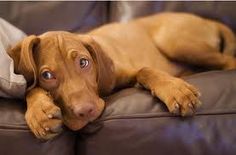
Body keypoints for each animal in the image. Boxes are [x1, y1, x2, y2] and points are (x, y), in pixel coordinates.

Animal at [7, 12, 236, 140]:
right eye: (47, 75)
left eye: (84, 62)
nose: (86, 111)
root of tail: (207, 20)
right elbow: (30, 89)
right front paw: (39, 113)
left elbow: (145, 70)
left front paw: (176, 90)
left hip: (174, 40)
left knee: (229, 61)